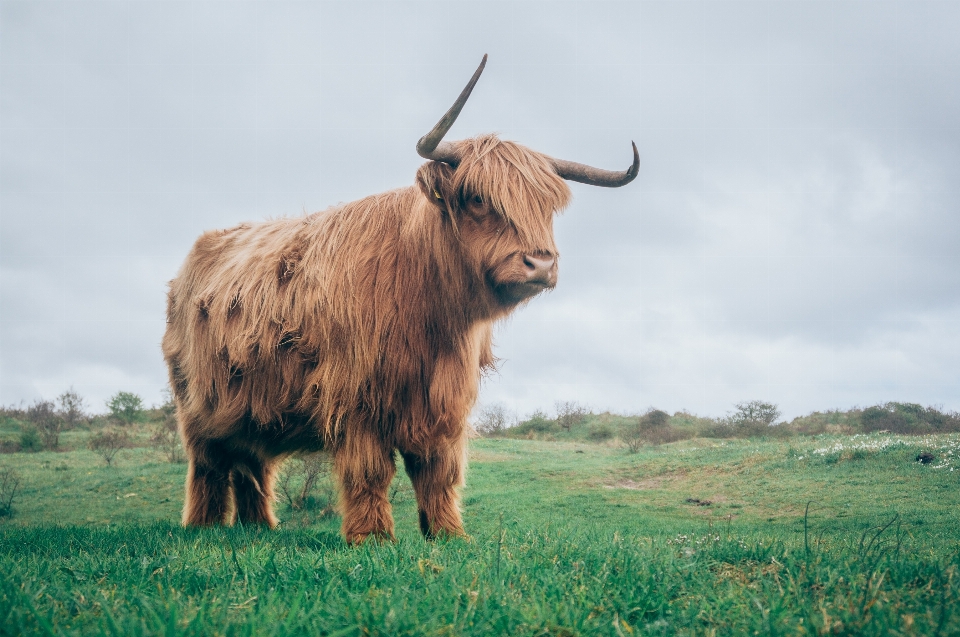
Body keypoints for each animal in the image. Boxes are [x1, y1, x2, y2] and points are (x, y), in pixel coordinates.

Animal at [162, 56, 640, 540]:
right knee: (209, 466)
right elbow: (370, 471)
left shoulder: (445, 403)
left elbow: (438, 471)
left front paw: (448, 534)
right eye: (477, 198)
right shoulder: (355, 396)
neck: (431, 314)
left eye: (546, 207)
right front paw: (372, 538)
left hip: (250, 407)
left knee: (252, 465)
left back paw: (259, 528)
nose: (540, 264)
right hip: (197, 406)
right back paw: (203, 527)